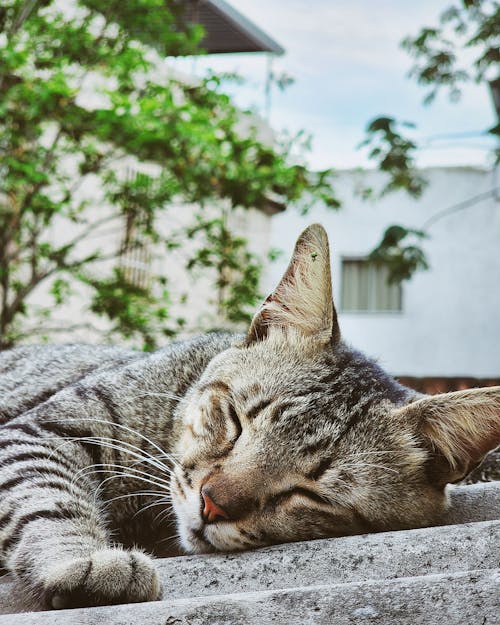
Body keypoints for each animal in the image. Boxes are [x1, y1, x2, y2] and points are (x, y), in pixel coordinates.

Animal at [0, 225, 500, 608]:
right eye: (237, 421)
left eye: (311, 492)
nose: (212, 504)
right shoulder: (45, 430)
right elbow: (47, 498)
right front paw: (81, 558)